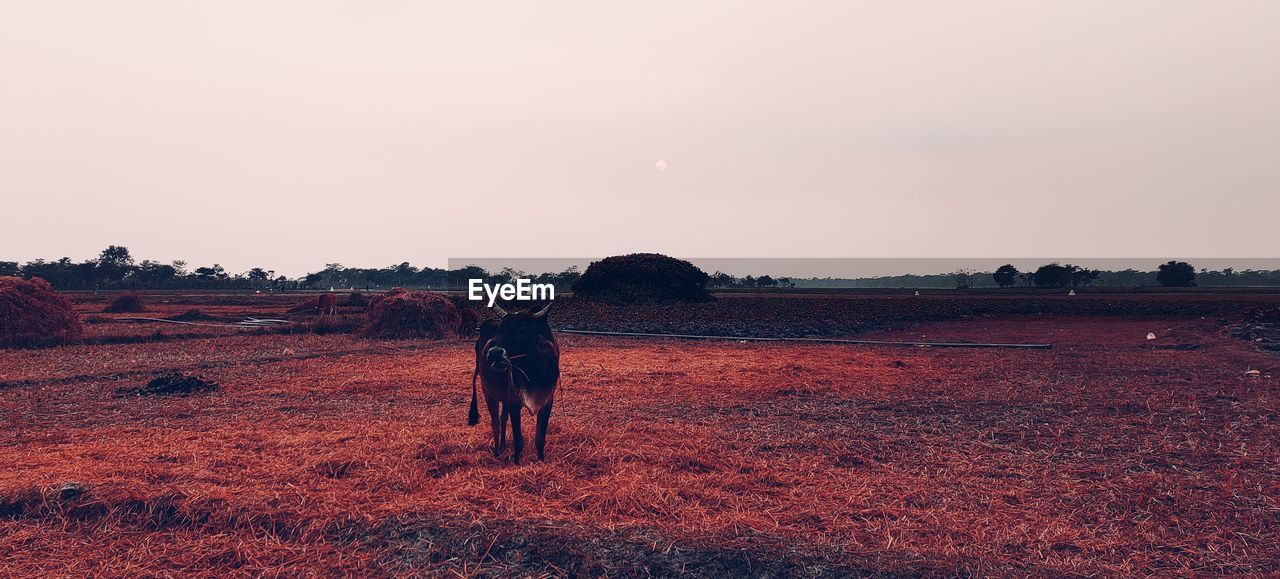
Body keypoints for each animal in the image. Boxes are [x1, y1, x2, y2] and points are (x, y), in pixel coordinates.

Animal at [465, 303, 555, 461]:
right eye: (500, 330)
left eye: (523, 330)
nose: (494, 353)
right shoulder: (514, 402)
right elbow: (518, 440)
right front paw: (517, 461)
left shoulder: (548, 400)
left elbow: (540, 437)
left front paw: (541, 459)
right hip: (488, 392)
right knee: (496, 422)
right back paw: (497, 451)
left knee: (502, 418)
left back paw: (503, 445)